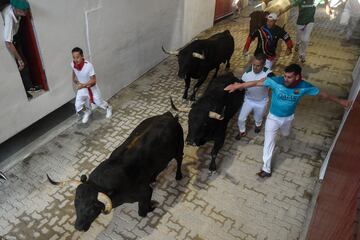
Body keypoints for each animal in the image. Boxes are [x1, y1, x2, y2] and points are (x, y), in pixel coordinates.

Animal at [47, 112, 183, 232]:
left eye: (93, 208)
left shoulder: (145, 192)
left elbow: (142, 212)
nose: (78, 227)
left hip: (179, 149)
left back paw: (178, 176)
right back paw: (153, 177)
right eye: (76, 203)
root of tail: (169, 116)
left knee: (180, 161)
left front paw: (152, 206)